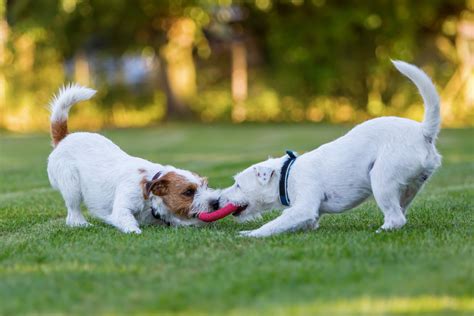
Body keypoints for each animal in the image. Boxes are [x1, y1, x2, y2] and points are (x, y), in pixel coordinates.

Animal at [46, 83, 220, 232]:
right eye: (188, 192)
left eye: (206, 185)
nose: (216, 202)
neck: (148, 192)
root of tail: (64, 138)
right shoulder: (122, 207)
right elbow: (126, 219)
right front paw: (134, 231)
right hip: (72, 188)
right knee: (72, 212)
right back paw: (81, 224)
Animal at [218, 61, 440, 237]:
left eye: (238, 185)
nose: (218, 200)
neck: (286, 175)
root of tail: (423, 132)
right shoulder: (308, 216)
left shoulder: (304, 207)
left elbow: (272, 225)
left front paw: (249, 234)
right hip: (408, 188)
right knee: (400, 213)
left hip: (381, 179)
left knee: (396, 218)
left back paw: (379, 231)